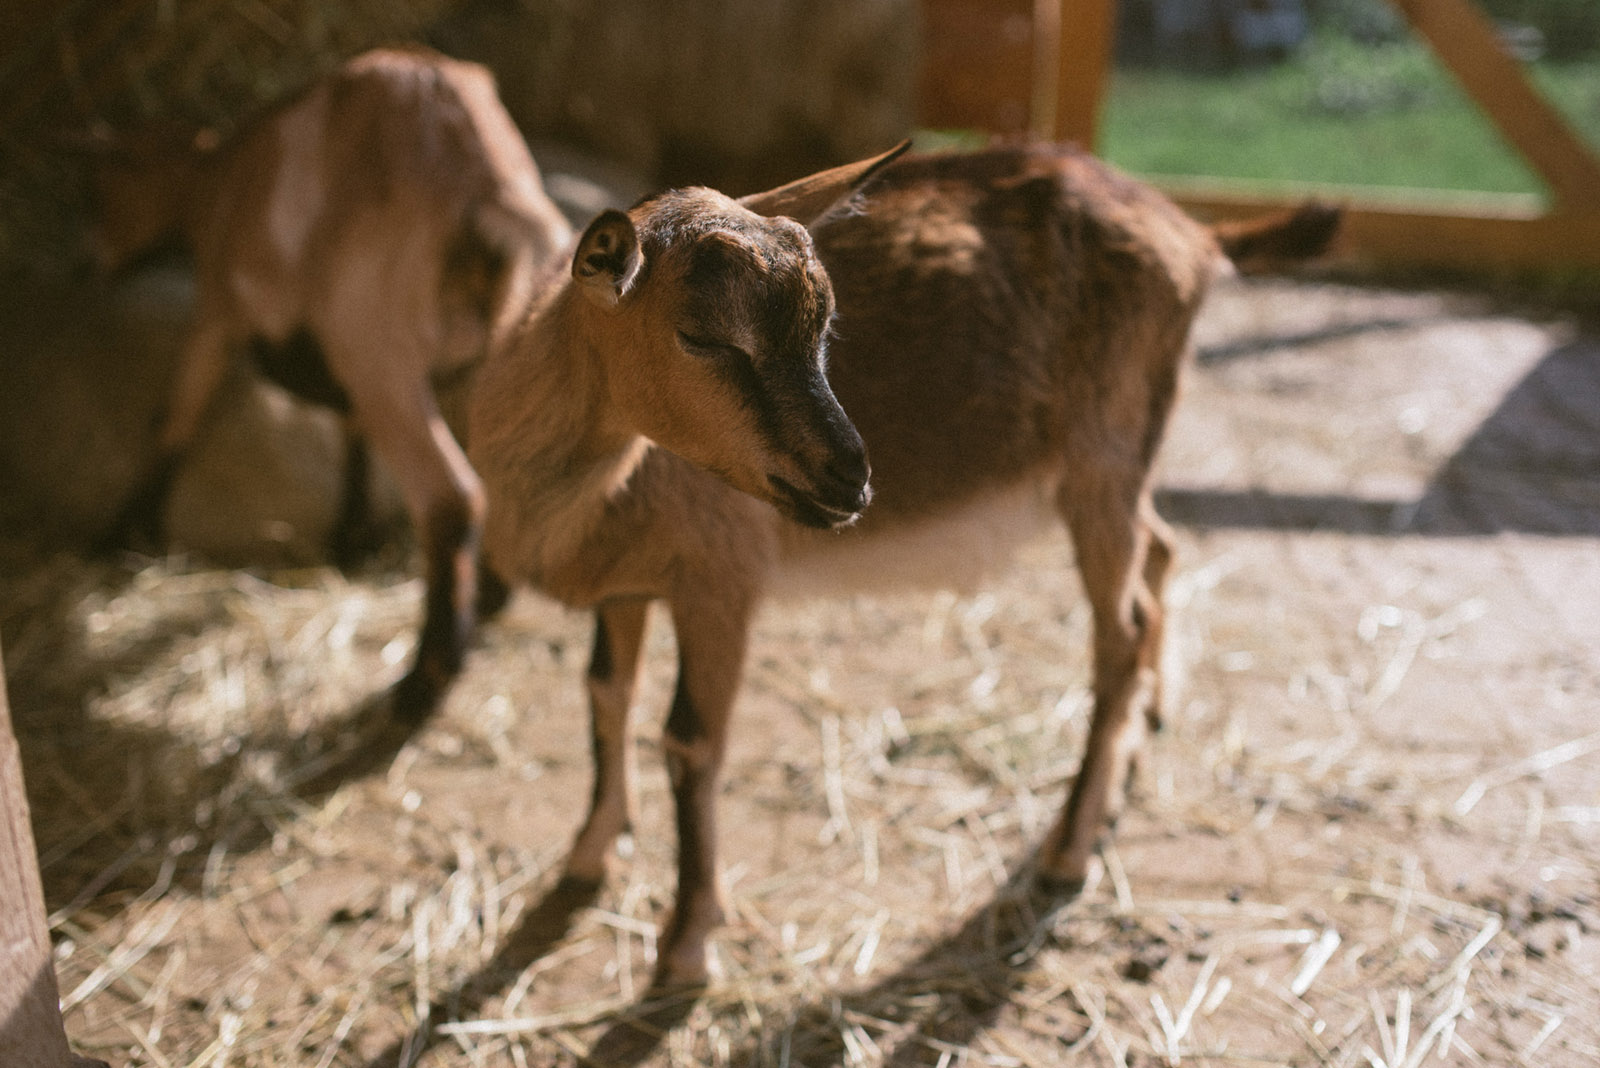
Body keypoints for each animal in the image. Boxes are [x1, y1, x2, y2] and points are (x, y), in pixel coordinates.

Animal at [470, 141, 1337, 984]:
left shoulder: (720, 582)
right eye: (704, 337)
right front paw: (588, 854)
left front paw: (685, 945)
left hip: (1103, 457)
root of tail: (1194, 233)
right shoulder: (626, 588)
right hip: (1121, 468)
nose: (849, 476)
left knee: (1118, 631)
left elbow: (690, 743)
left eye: (825, 326)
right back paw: (1147, 721)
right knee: (1159, 555)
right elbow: (605, 694)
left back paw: (1066, 848)